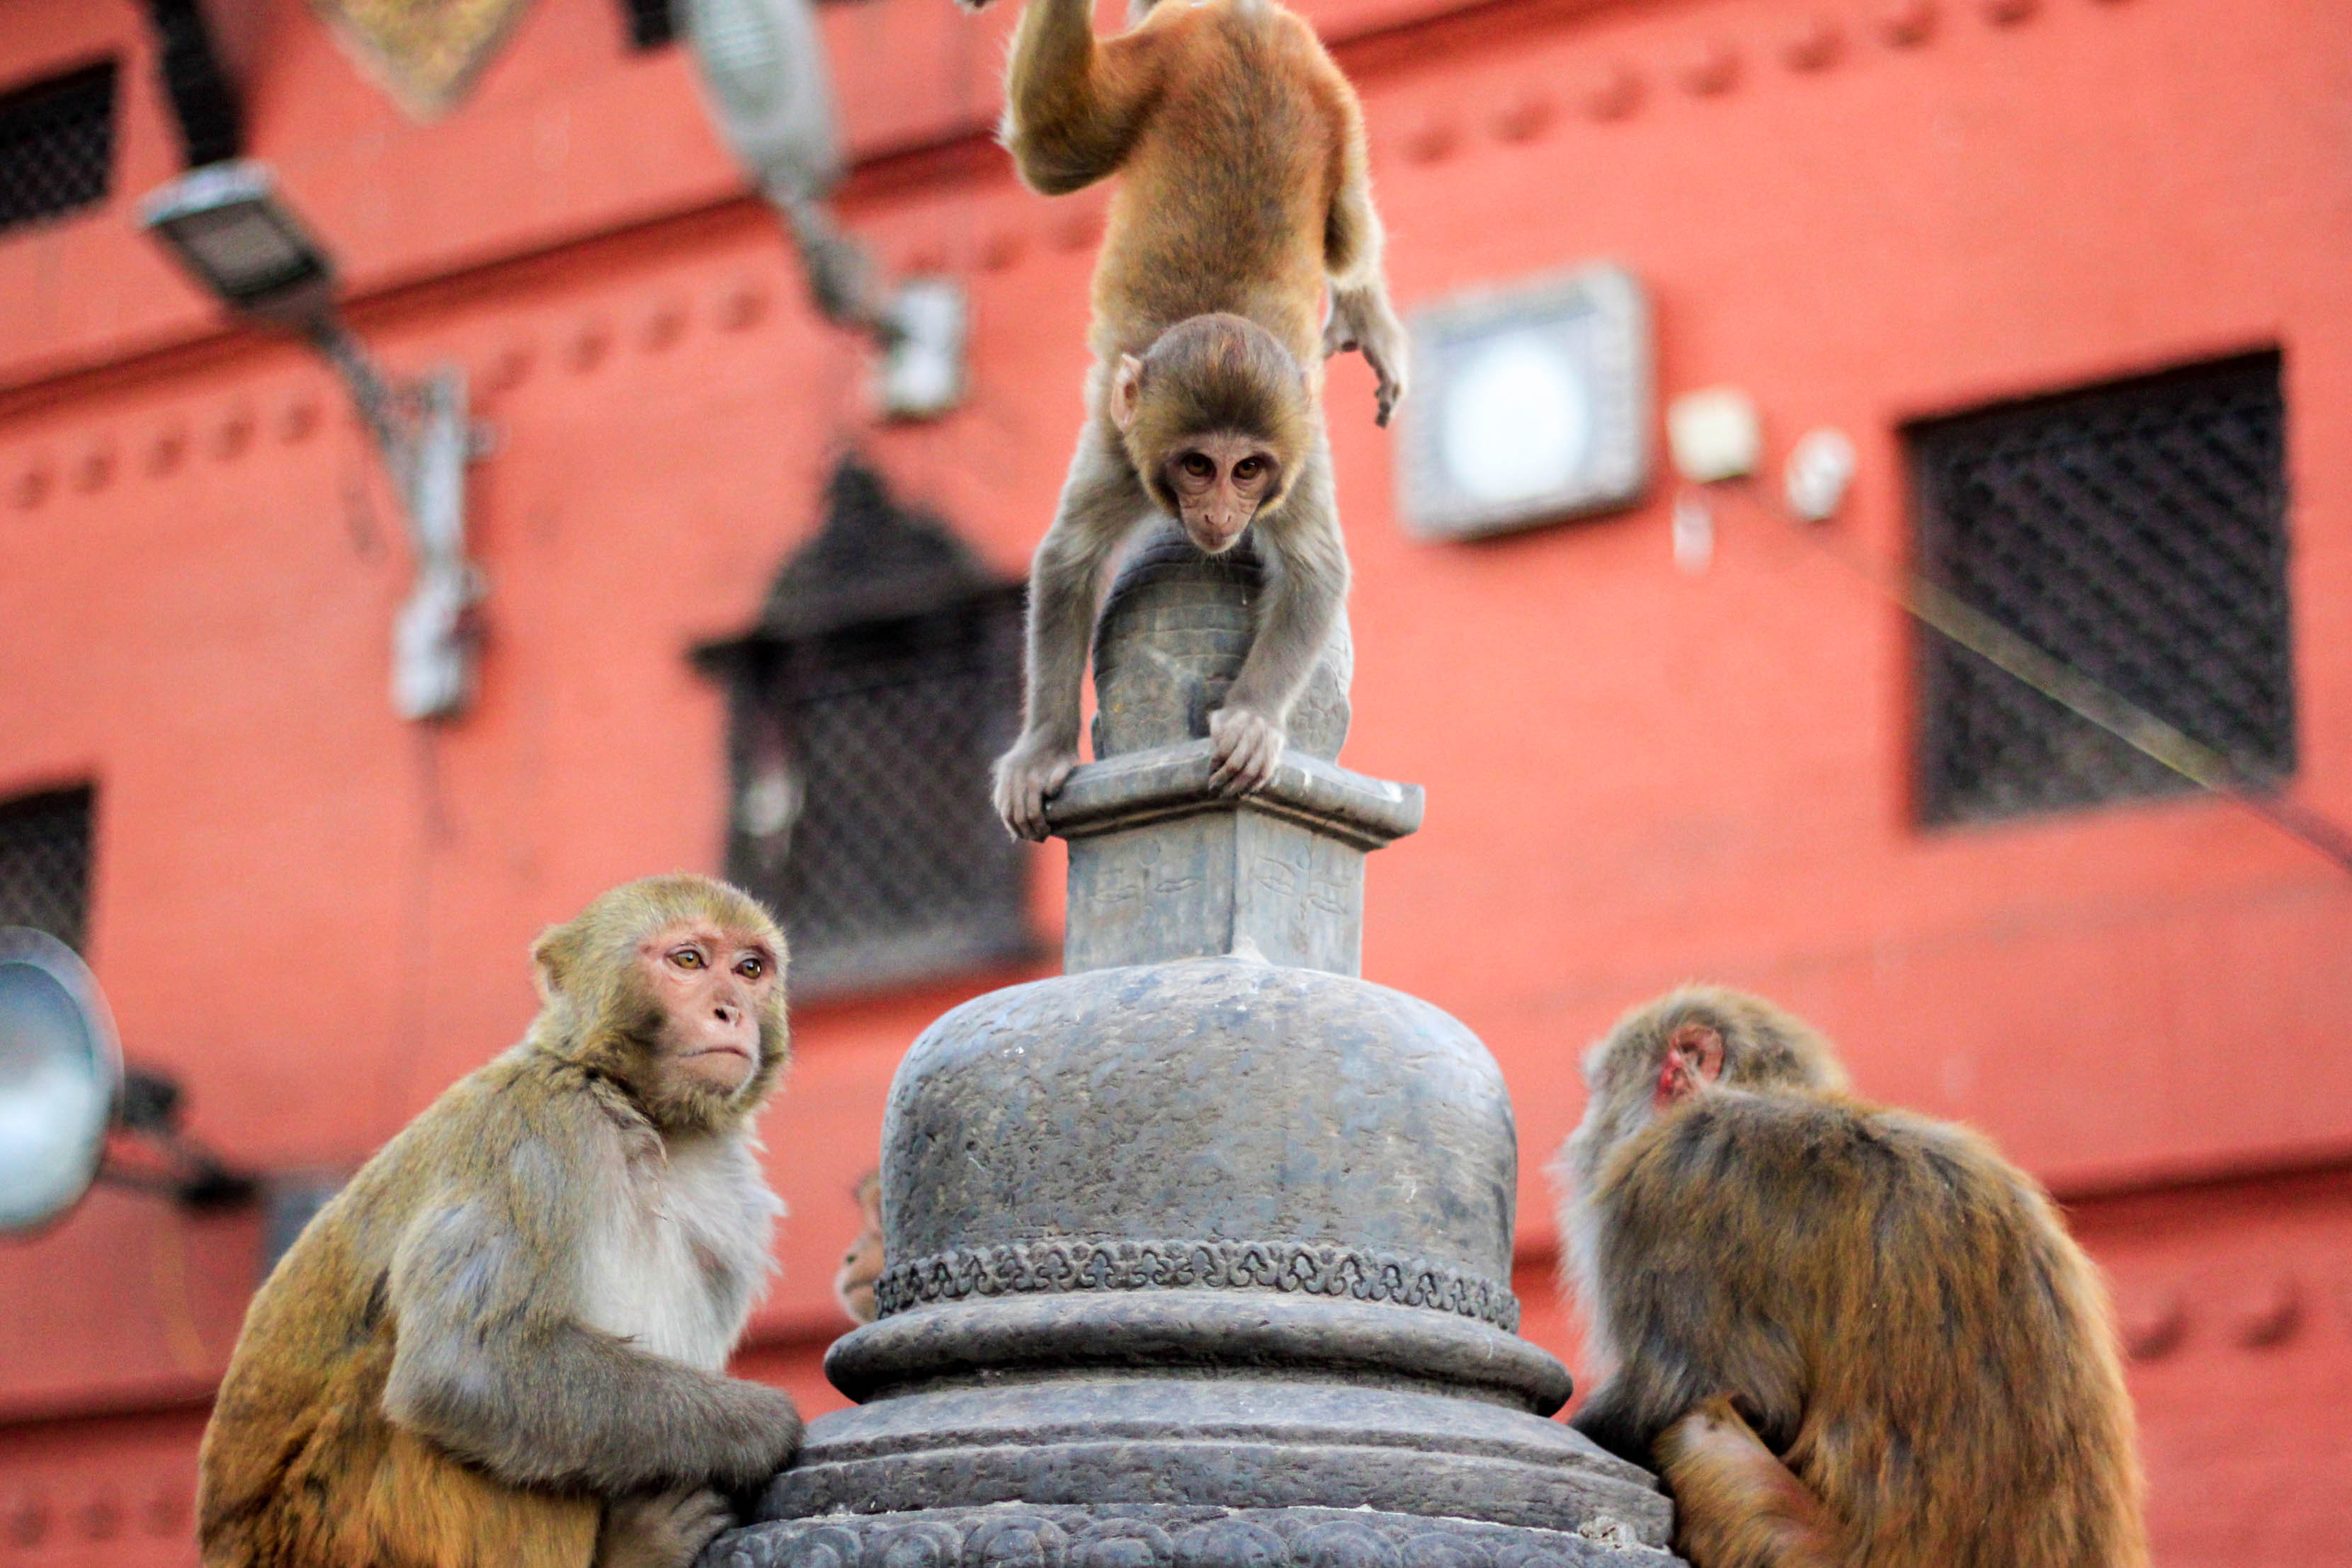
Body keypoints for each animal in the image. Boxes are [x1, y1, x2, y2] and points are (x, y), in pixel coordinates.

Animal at [202, 879, 809, 1568]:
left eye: (750, 969)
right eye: (689, 961)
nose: (730, 1010)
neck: (646, 1117)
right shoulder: (536, 1127)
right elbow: (471, 1365)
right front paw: (765, 1423)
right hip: (333, 1530)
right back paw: (633, 1550)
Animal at [978, 0, 1411, 846]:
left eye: (1247, 468)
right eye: (1197, 466)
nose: (1216, 514)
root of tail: (1242, 18)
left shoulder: (1297, 459)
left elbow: (1315, 568)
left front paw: (1252, 719)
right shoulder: (1121, 446)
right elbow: (1070, 561)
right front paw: (1043, 750)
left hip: (1333, 107)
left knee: (1347, 229)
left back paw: (1366, 305)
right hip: (1156, 69)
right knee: (1052, 149)